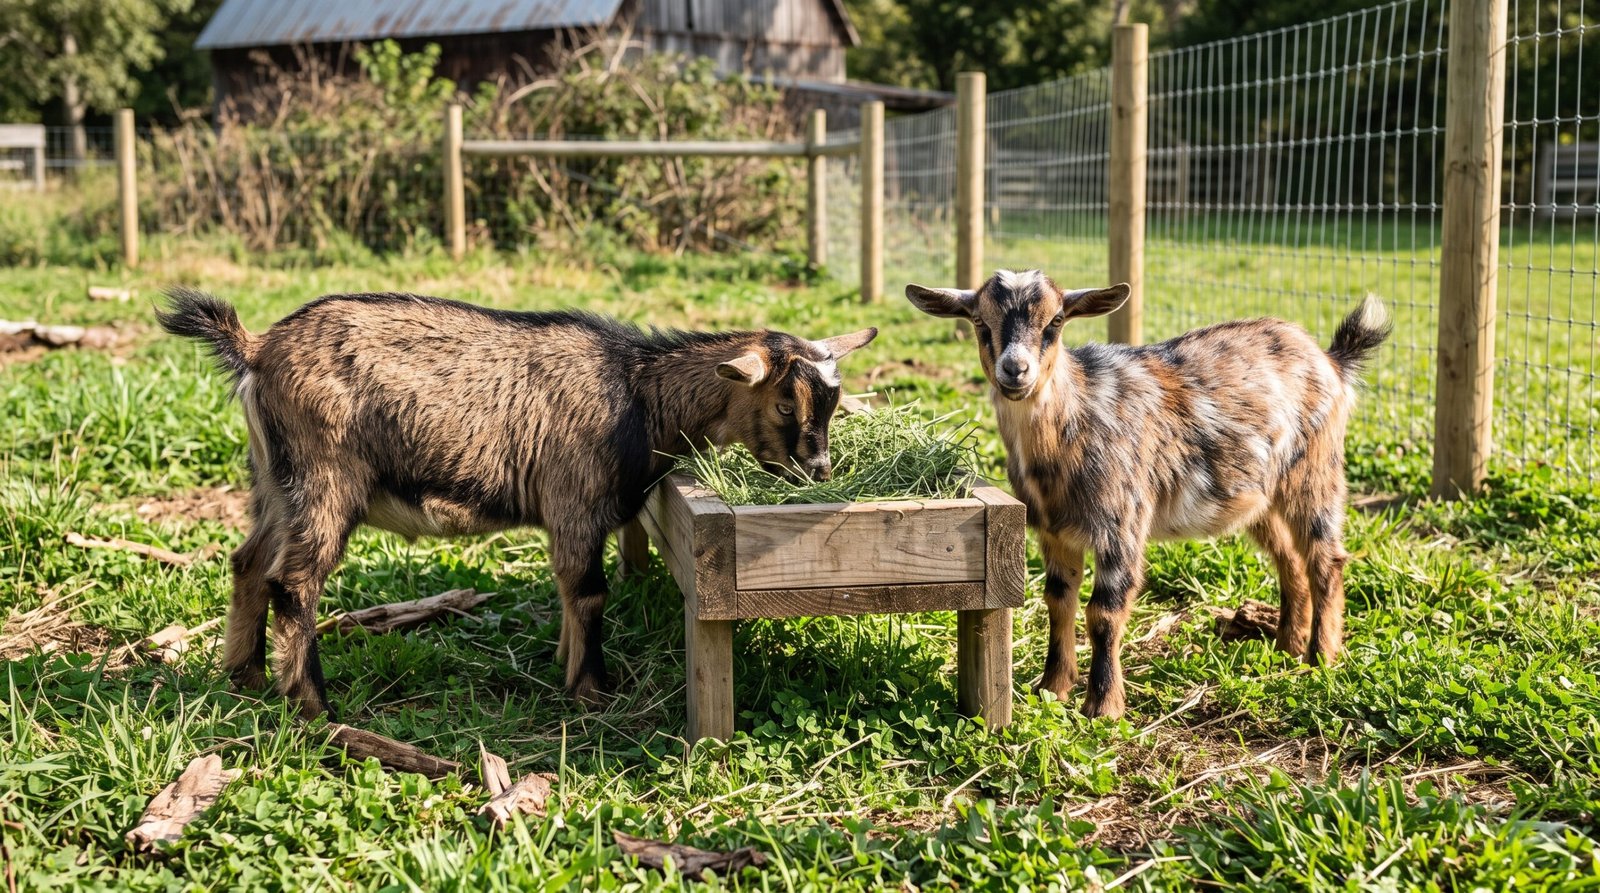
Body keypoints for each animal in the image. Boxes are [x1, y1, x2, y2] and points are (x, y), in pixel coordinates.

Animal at [158, 288, 876, 718]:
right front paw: (591, 690)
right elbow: (587, 592)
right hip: (324, 478)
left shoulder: (571, 516)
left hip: (273, 482)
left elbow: (566, 588)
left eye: (834, 400)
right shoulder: (577, 501)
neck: (636, 393)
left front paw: (565, 663)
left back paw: (245, 676)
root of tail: (255, 349)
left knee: (249, 563)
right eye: (785, 404)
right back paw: (313, 703)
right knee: (294, 581)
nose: (818, 470)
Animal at [906, 270, 1389, 719]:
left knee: (1325, 558)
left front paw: (1102, 706)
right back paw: (1287, 646)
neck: (1076, 420)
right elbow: (1058, 600)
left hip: (1314, 471)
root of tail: (1330, 359)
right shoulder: (1054, 532)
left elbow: (1103, 613)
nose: (1015, 370)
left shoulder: (1121, 523)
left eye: (1056, 321)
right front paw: (1052, 687)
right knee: (1289, 558)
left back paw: (1320, 657)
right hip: (1259, 496)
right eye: (979, 321)